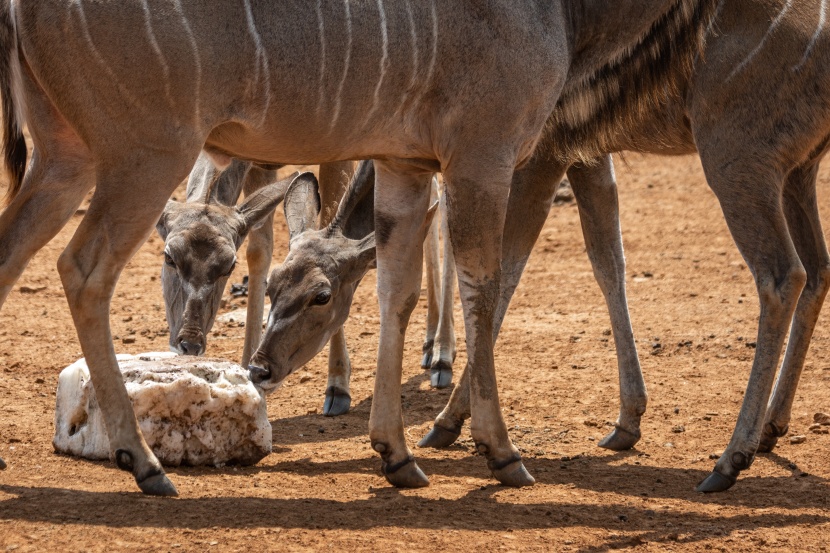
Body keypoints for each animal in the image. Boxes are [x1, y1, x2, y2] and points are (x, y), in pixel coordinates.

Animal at [0, 0, 716, 492]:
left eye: (320, 297)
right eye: (170, 262)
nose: (257, 368)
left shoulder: (414, 162)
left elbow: (398, 287)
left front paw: (398, 449)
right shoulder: (493, 152)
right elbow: (488, 280)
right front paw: (498, 449)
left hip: (65, 155)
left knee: (13, 253)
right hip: (145, 151)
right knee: (82, 268)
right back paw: (144, 462)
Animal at [426, 0, 830, 492]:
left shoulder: (540, 152)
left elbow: (505, 273)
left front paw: (452, 422)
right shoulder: (584, 152)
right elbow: (608, 260)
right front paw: (627, 421)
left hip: (738, 160)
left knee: (783, 276)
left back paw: (730, 460)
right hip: (798, 171)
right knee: (819, 269)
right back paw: (771, 426)